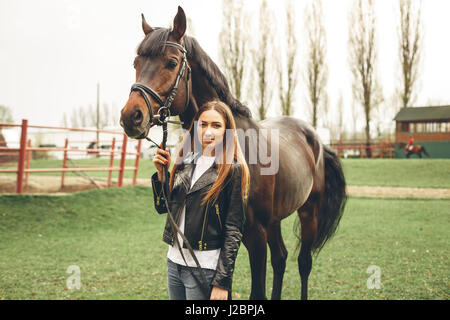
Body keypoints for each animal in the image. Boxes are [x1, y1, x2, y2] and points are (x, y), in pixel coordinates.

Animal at [120, 5, 348, 300]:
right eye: (136, 64)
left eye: (171, 63)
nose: (131, 117)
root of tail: (315, 139)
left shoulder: (254, 234)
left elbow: (257, 291)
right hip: (275, 220)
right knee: (281, 258)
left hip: (308, 212)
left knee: (303, 262)